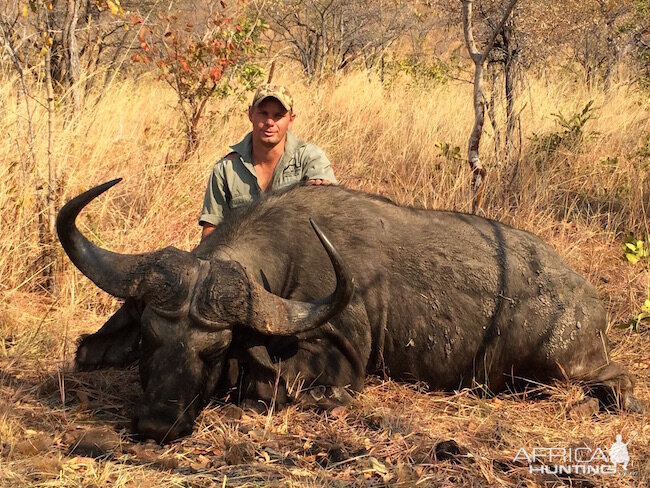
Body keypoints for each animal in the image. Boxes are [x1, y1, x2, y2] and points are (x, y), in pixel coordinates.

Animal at [58, 178, 640, 442]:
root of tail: (588, 297)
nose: (157, 423)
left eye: (216, 350)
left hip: (562, 364)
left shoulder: (341, 360)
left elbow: (271, 389)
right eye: (149, 338)